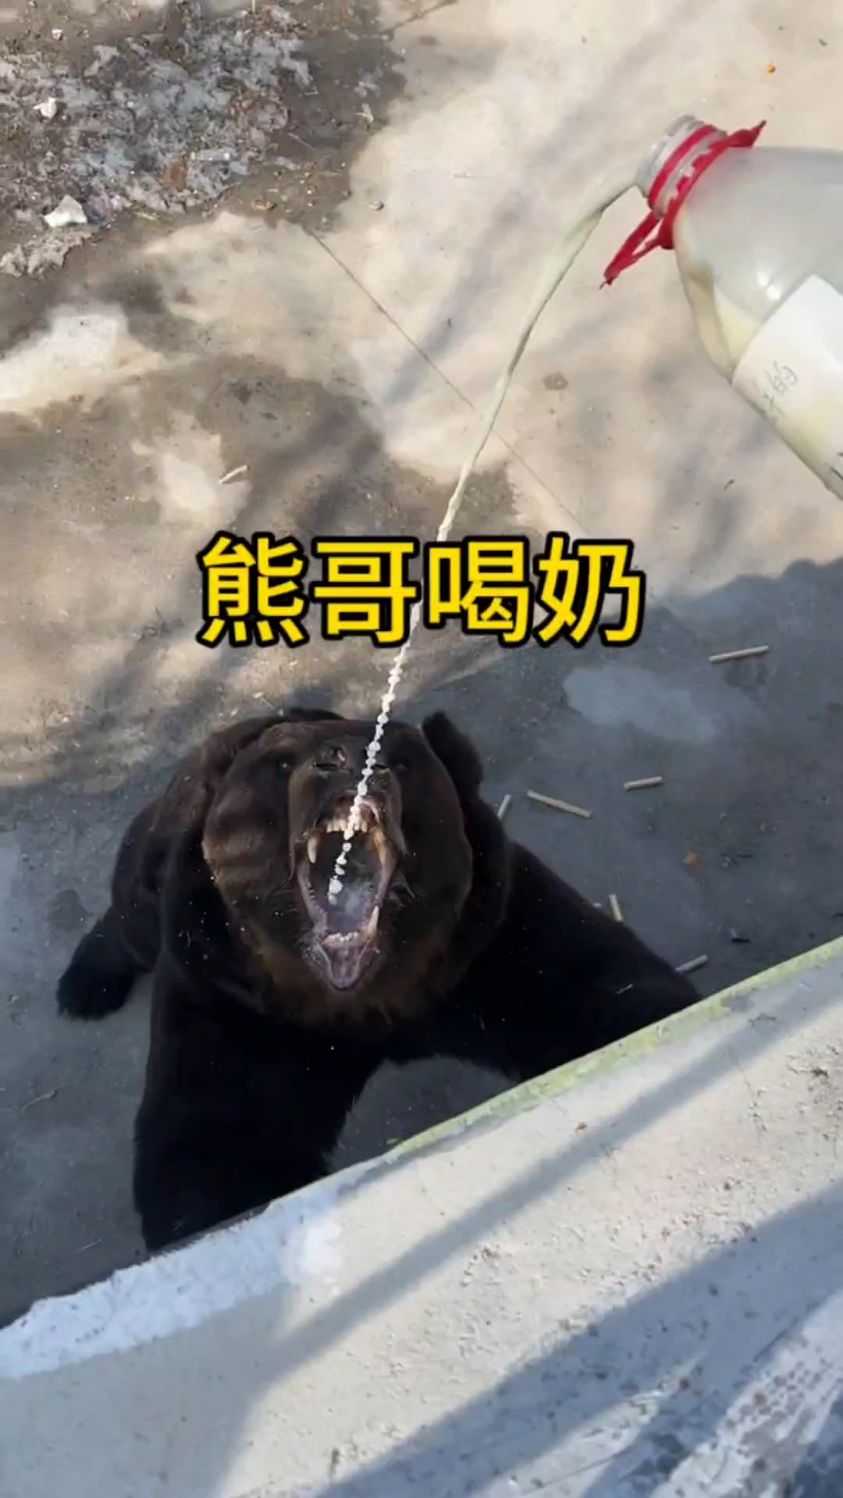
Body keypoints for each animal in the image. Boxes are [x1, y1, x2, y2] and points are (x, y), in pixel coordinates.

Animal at [57, 707, 698, 1250]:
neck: (363, 994)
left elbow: (606, 989)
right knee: (132, 906)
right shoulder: (235, 1000)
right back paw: (85, 984)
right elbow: (214, 1145)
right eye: (280, 762)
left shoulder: (491, 944)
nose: (347, 758)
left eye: (400, 756)